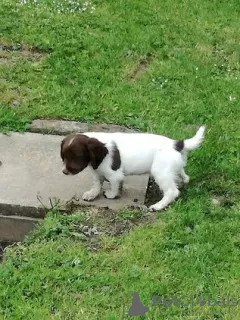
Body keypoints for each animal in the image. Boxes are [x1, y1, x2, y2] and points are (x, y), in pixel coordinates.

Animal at [61, 126, 205, 211]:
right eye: (64, 156)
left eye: (76, 157)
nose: (64, 172)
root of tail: (177, 144)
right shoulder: (98, 171)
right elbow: (97, 184)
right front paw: (92, 194)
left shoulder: (114, 174)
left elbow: (114, 185)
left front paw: (111, 195)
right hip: (172, 168)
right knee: (183, 175)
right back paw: (183, 181)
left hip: (160, 171)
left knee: (172, 191)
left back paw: (158, 206)